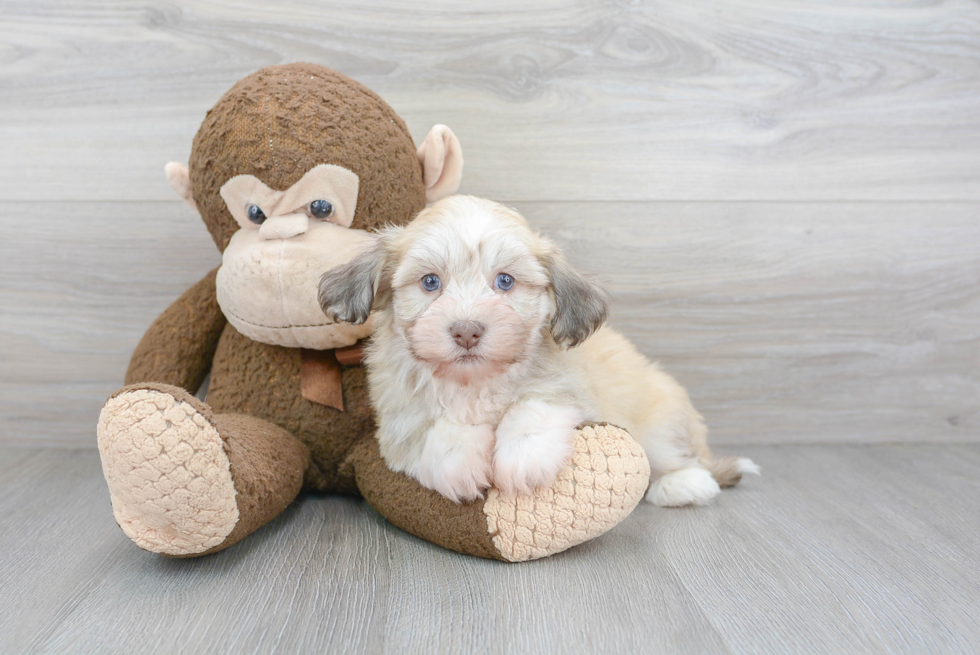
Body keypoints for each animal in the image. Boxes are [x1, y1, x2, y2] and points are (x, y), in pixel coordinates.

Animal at [322, 197, 756, 504]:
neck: (475, 382)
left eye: (505, 281)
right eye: (430, 282)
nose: (466, 331)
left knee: (675, 458)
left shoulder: (569, 388)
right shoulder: (397, 417)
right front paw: (458, 461)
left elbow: (534, 407)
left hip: (661, 421)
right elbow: (434, 428)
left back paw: (685, 484)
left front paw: (522, 459)